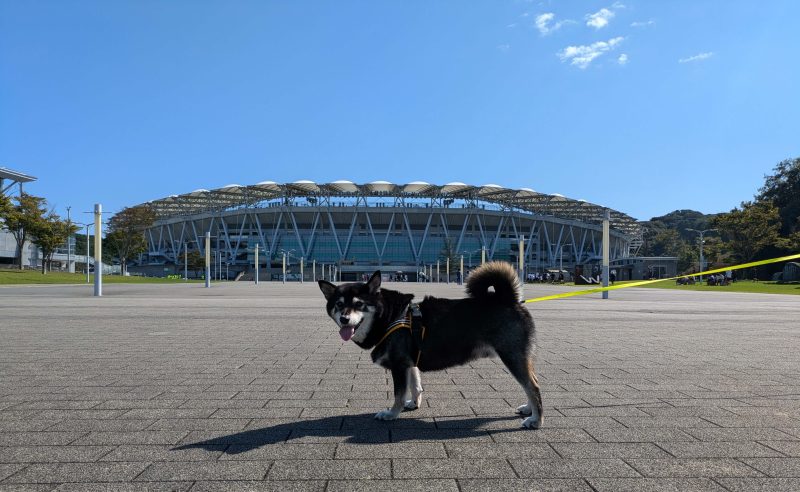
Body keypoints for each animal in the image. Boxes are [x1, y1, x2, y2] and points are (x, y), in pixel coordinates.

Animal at [318, 262, 544, 426]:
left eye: (359, 304)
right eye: (339, 305)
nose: (345, 319)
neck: (391, 316)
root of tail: (509, 299)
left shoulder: (399, 365)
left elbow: (398, 394)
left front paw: (392, 413)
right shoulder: (408, 362)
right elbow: (415, 385)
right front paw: (413, 404)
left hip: (512, 356)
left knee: (532, 385)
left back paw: (536, 419)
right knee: (530, 383)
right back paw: (528, 409)